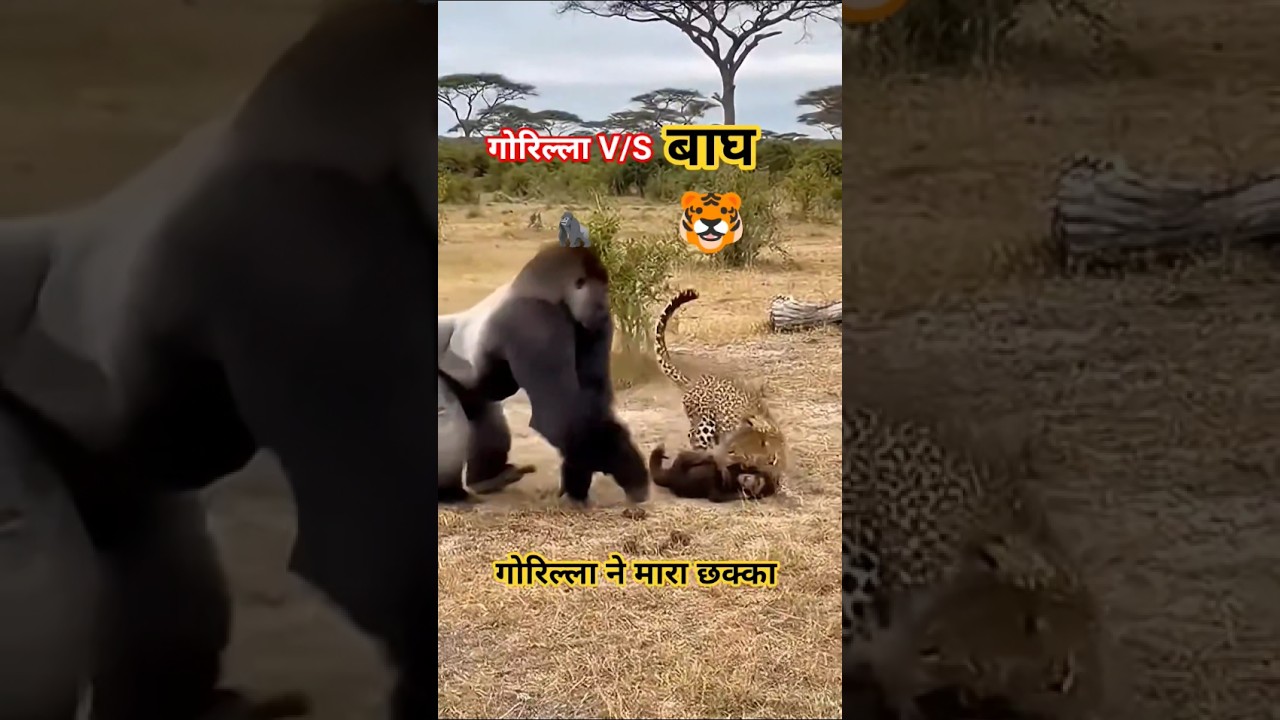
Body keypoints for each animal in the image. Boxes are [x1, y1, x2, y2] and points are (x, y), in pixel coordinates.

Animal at [437, 244, 649, 506]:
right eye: (602, 292)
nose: (606, 306)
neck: (554, 293)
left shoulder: (593, 326)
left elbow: (588, 405)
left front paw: (575, 479)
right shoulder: (536, 323)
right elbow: (559, 417)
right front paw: (629, 470)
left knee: (484, 414)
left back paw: (487, 480)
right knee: (447, 420)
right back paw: (450, 492)